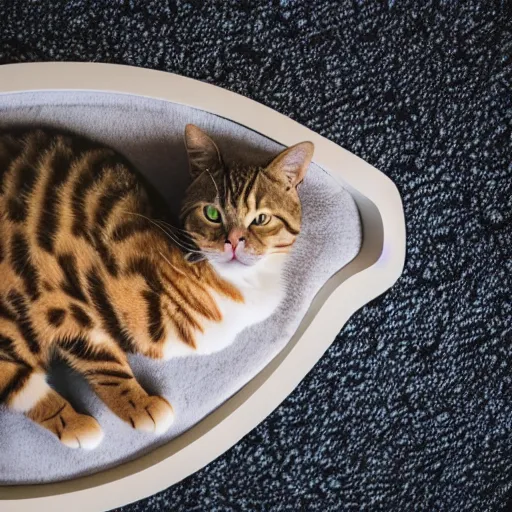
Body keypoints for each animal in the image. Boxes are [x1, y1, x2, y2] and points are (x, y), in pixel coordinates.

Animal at [0, 124, 312, 448]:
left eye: (261, 219)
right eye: (212, 213)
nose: (234, 241)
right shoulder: (64, 295)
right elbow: (101, 363)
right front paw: (135, 405)